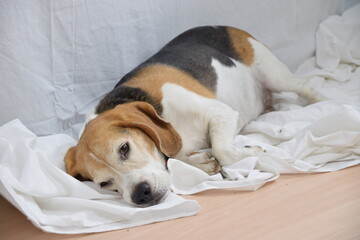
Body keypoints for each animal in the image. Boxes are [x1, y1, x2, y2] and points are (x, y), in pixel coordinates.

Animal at [63, 25, 324, 206]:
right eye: (104, 183)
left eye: (124, 148)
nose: (140, 194)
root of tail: (224, 26)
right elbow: (176, 157)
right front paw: (200, 162)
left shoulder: (221, 112)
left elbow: (222, 149)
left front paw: (253, 151)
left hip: (273, 72)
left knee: (305, 86)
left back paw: (324, 102)